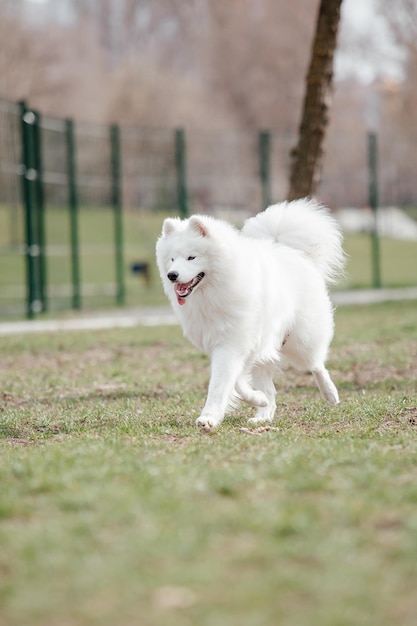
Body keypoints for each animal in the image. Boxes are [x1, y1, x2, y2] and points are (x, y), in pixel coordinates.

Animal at [156, 197, 344, 426]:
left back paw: (330, 394)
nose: (172, 275)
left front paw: (209, 417)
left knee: (316, 363)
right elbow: (235, 382)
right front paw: (257, 399)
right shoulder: (226, 345)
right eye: (172, 259)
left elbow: (221, 383)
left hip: (301, 340)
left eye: (192, 257)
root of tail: (292, 251)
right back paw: (263, 415)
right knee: (270, 387)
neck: (215, 290)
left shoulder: (233, 343)